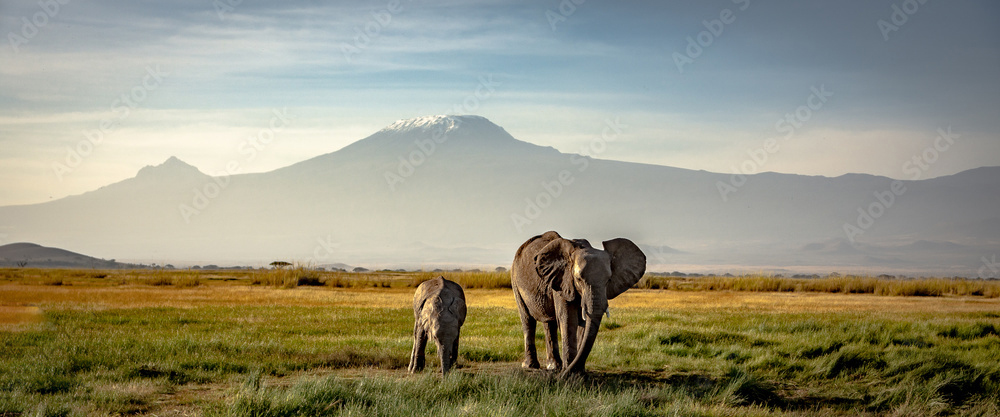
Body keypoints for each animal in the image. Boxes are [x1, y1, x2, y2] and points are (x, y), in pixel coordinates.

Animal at [512, 231, 646, 377]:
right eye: (579, 279)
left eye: (608, 280)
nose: (562, 376)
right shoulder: (562, 281)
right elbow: (568, 319)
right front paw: (570, 374)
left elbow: (583, 323)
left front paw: (577, 372)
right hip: (515, 280)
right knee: (527, 319)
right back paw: (530, 366)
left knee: (549, 323)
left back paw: (554, 367)